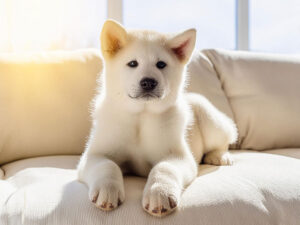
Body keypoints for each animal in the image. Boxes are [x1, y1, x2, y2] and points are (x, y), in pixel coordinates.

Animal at [77, 20, 237, 217]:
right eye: (132, 63)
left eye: (161, 64)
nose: (148, 82)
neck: (141, 116)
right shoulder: (94, 155)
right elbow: (107, 165)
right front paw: (107, 190)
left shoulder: (179, 156)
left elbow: (164, 167)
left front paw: (160, 193)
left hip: (209, 118)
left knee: (224, 140)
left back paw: (219, 156)